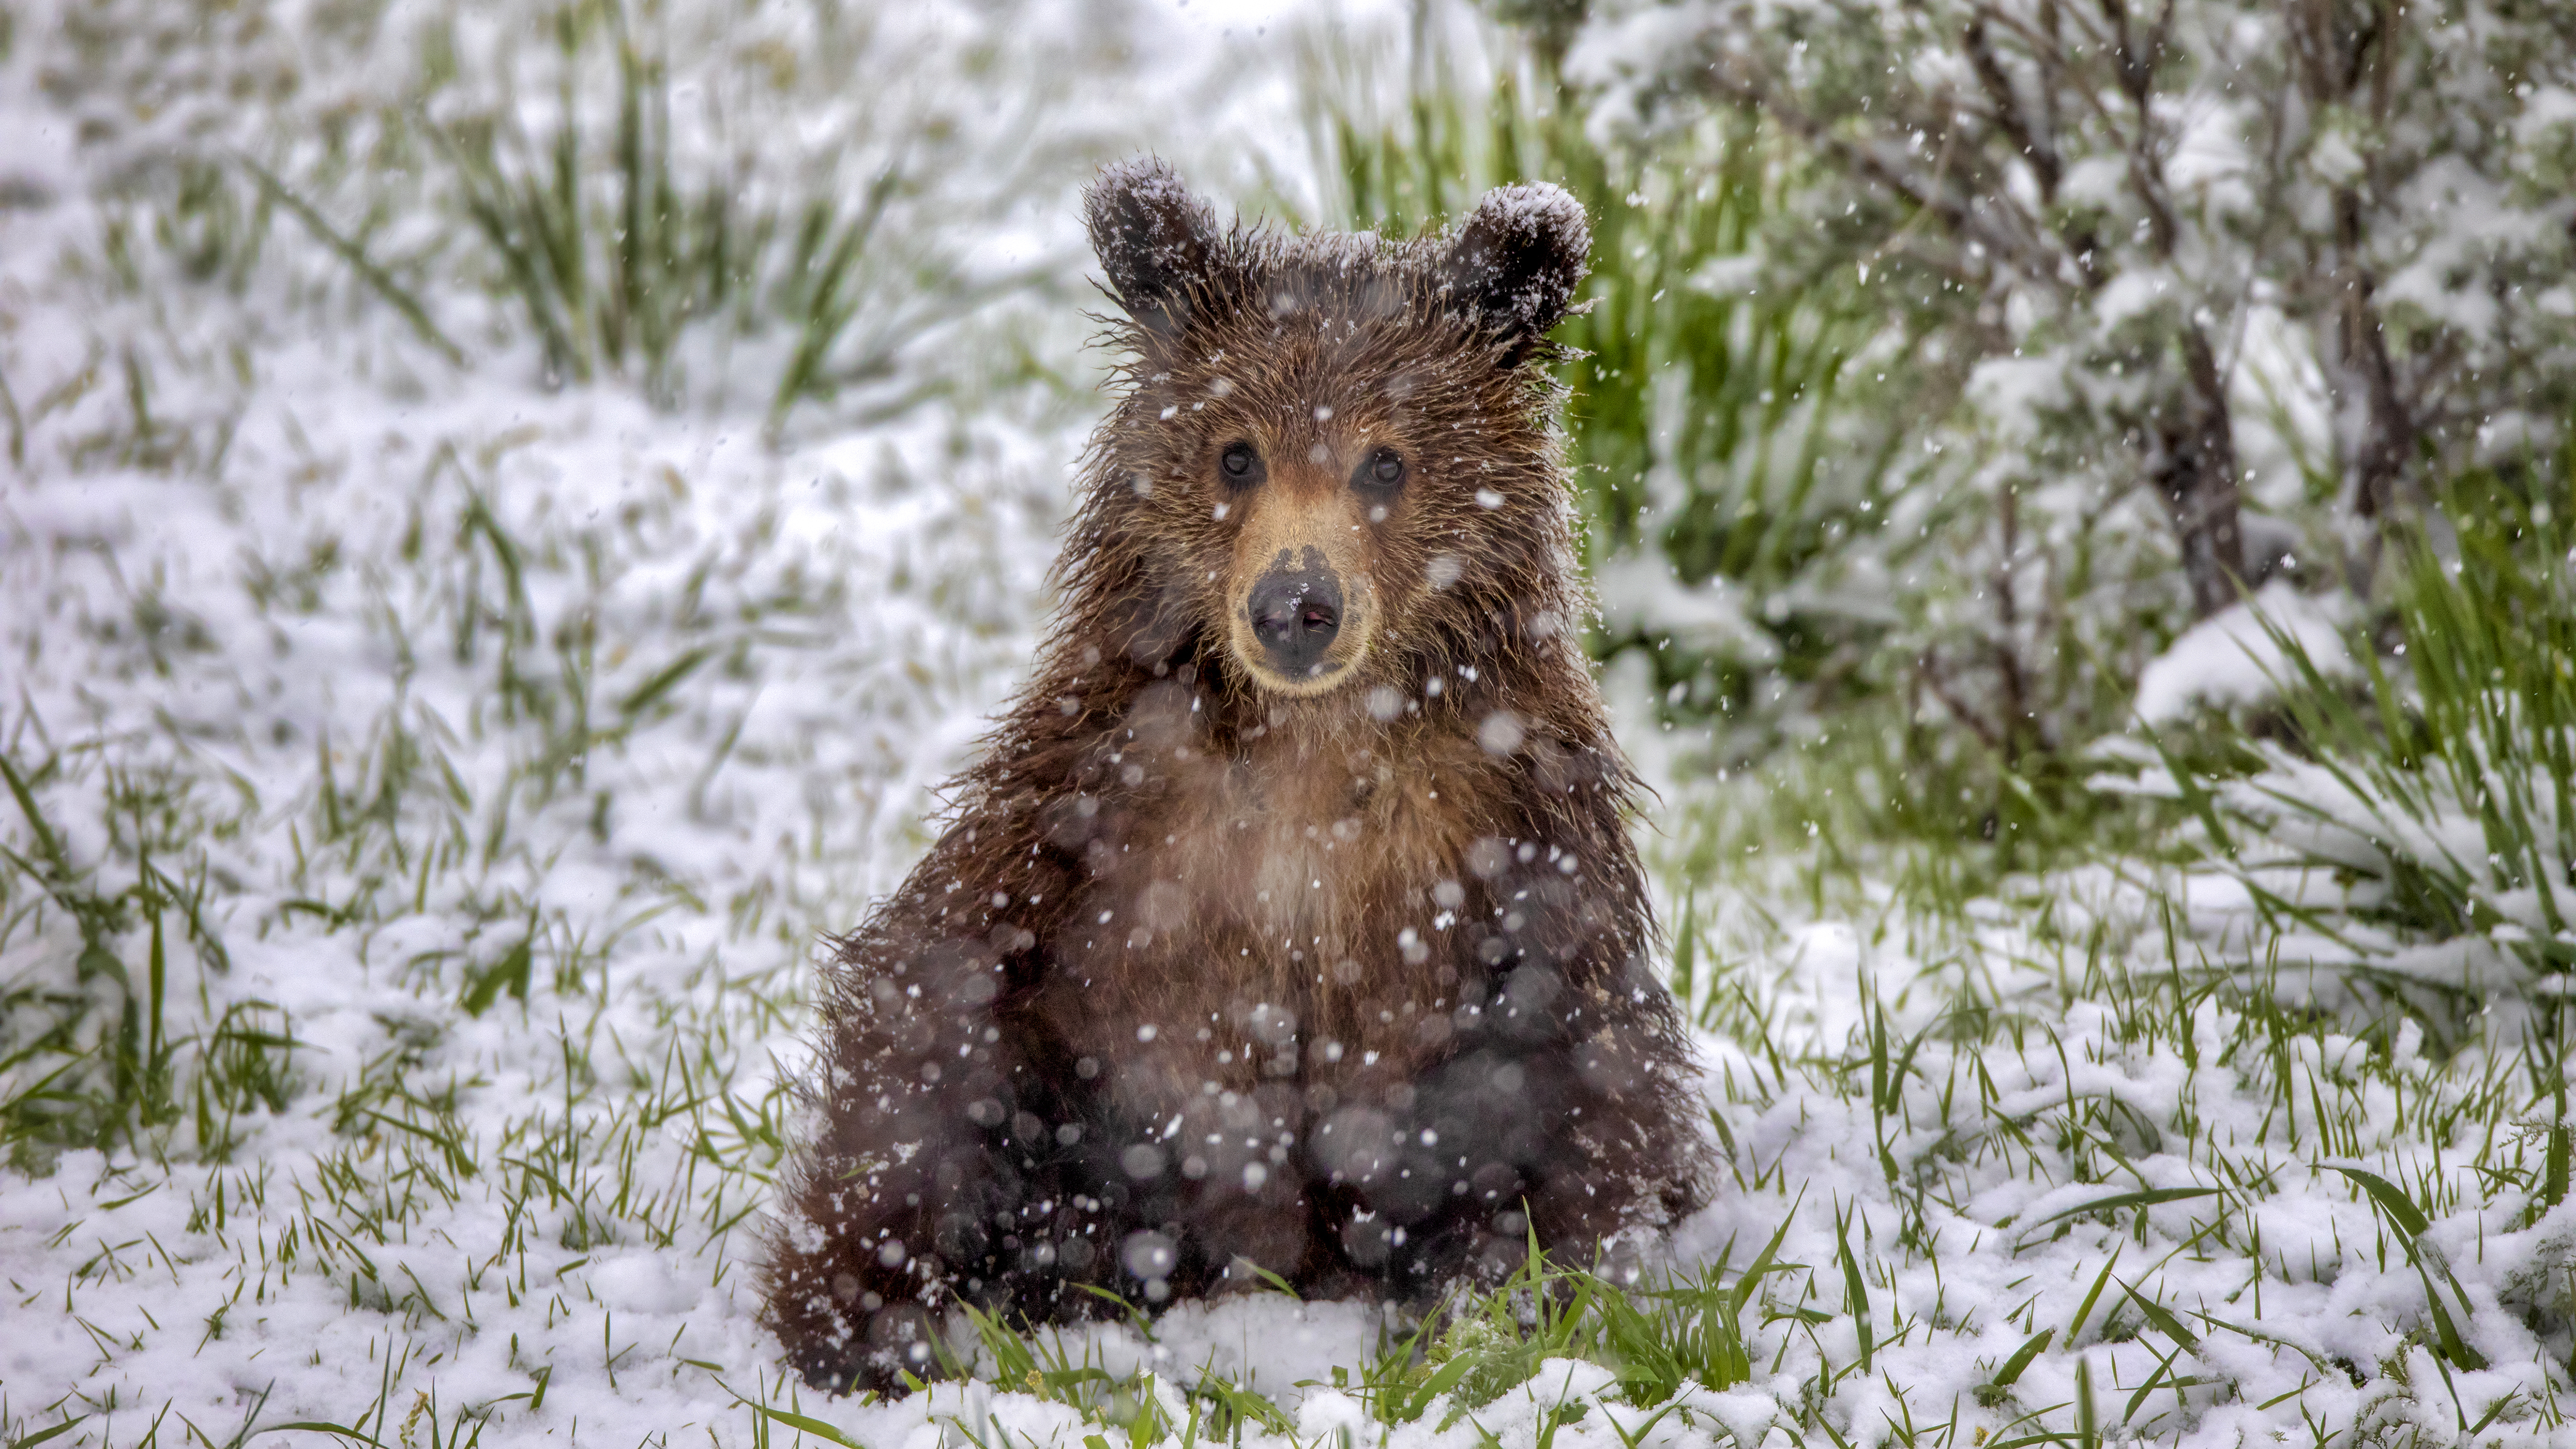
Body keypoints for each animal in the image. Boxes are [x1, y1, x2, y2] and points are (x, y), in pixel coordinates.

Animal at [763, 157, 1711, 1394]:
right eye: (1236, 450)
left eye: (1386, 458)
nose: (1296, 603)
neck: (1313, 742)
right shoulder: (1094, 789)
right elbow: (943, 1006)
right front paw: (857, 1314)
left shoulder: (1512, 828)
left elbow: (1582, 1072)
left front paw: (1507, 1307)